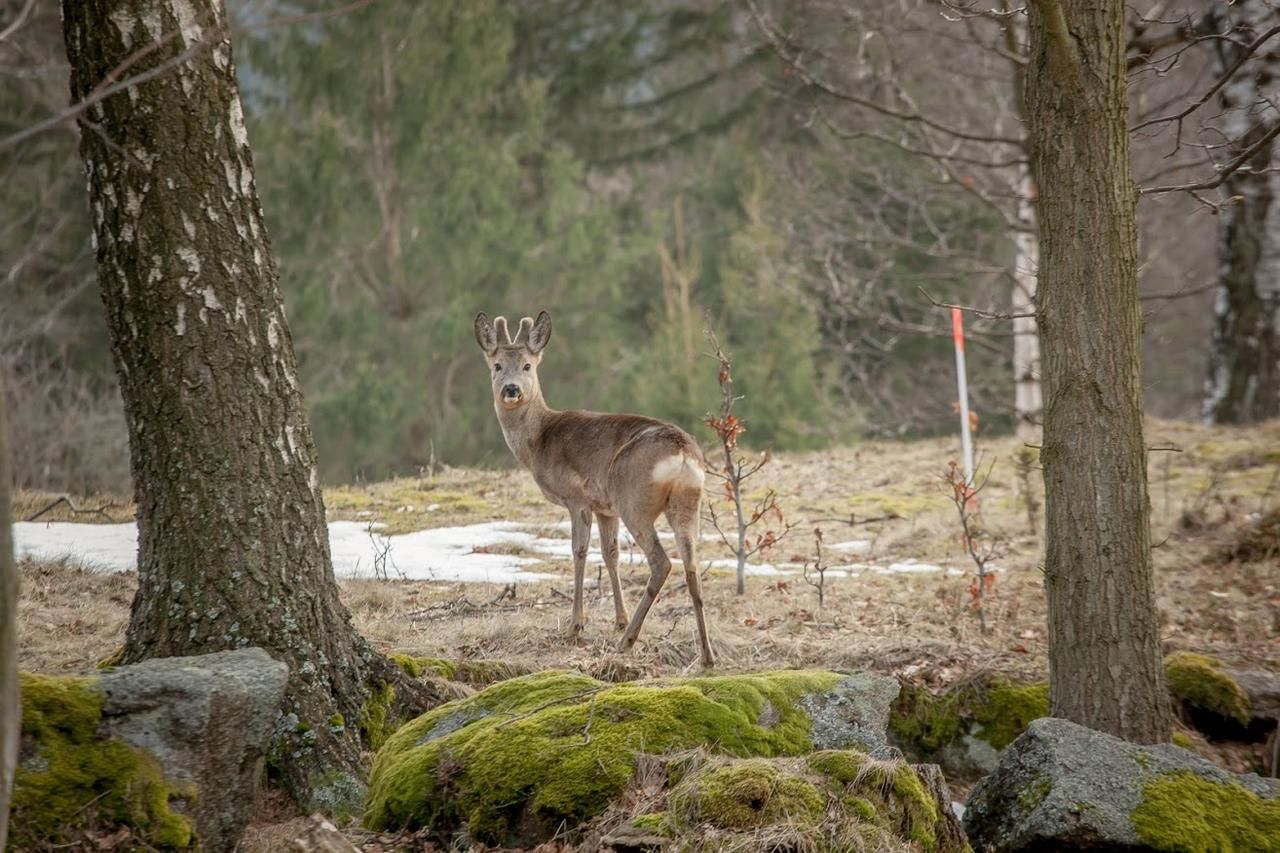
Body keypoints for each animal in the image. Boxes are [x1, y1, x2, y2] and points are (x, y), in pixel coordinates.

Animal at [476, 308, 716, 666]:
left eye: (528, 365)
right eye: (497, 365)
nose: (511, 389)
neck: (538, 442)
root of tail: (683, 453)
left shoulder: (577, 497)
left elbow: (579, 552)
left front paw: (576, 625)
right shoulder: (606, 509)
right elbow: (611, 553)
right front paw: (618, 619)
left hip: (634, 501)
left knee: (661, 562)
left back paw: (628, 641)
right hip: (688, 503)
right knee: (692, 566)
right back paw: (706, 655)